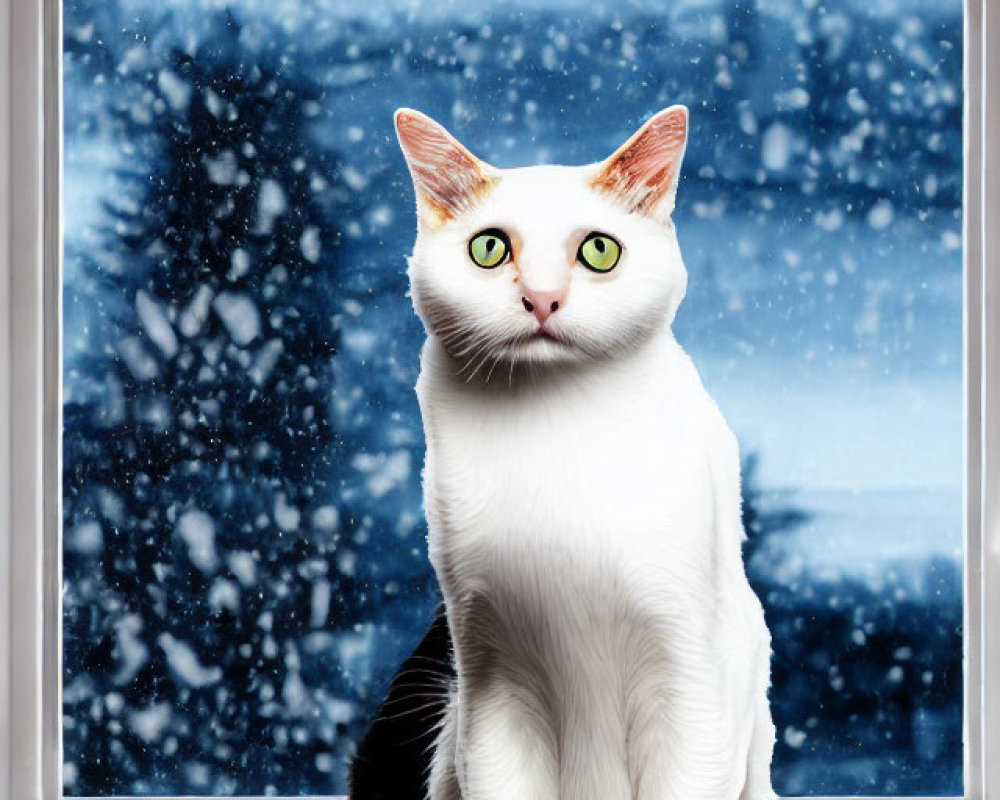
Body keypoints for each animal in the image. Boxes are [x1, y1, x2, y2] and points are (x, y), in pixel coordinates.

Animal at [348, 108, 776, 800]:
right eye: (489, 249)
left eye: (599, 250)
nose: (543, 299)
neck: (555, 427)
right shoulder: (487, 680)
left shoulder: (694, 679)